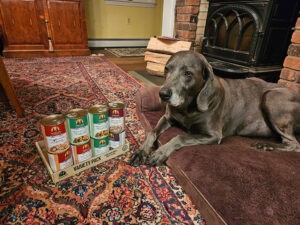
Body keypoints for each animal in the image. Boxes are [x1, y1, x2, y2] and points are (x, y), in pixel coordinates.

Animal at [130, 51, 300, 167]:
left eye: (187, 73)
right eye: (167, 69)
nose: (163, 94)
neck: (188, 107)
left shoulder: (213, 135)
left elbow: (179, 137)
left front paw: (160, 152)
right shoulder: (167, 117)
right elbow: (152, 131)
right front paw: (141, 151)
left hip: (271, 97)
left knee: (294, 144)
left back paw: (266, 145)